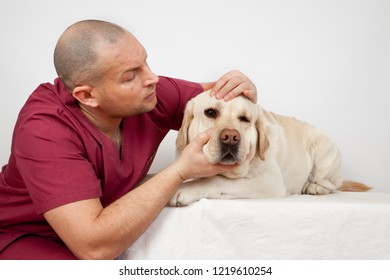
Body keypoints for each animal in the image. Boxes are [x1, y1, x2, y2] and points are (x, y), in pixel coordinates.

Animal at [168, 91, 368, 207]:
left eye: (245, 119)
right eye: (210, 112)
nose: (231, 138)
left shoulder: (269, 181)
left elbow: (215, 181)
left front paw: (184, 189)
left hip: (323, 153)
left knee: (332, 184)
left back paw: (314, 187)